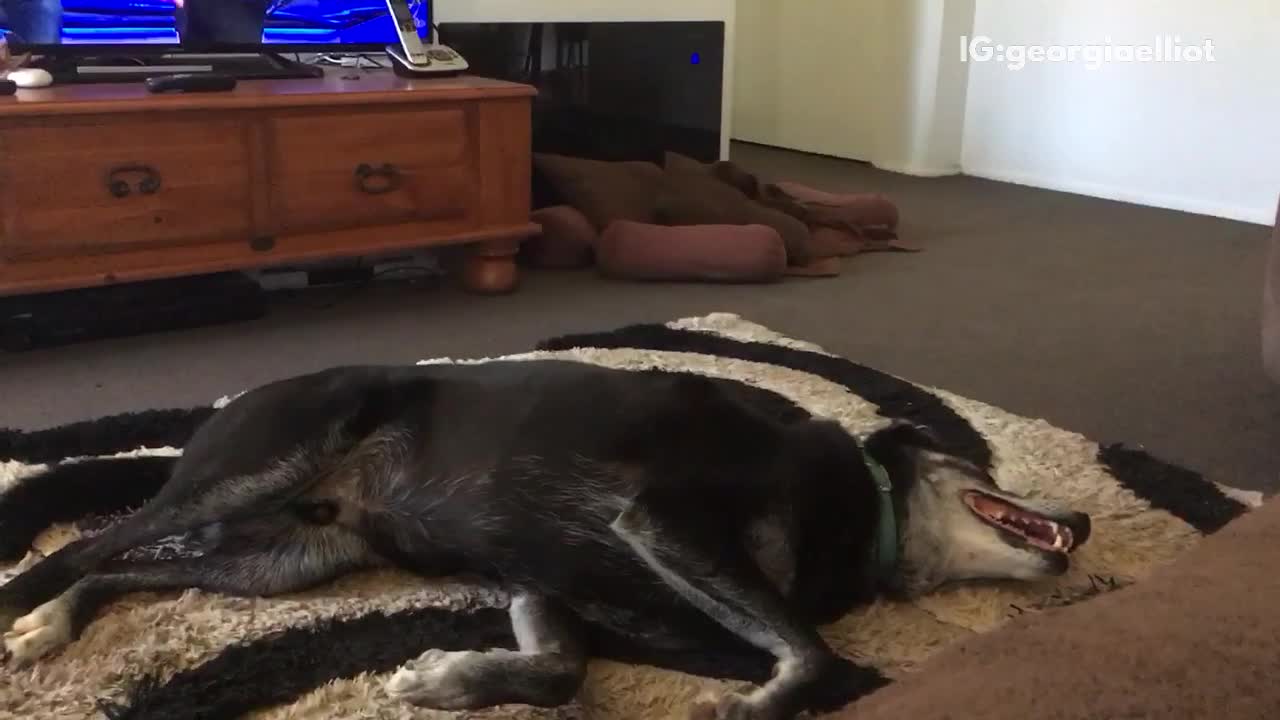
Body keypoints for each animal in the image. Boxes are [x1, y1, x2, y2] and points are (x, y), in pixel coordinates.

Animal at [0, 361, 1090, 712]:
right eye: (986, 469)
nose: (1081, 518)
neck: (870, 507)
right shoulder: (665, 521)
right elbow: (818, 659)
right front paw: (752, 703)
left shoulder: (559, 586)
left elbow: (562, 666)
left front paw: (449, 680)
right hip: (266, 458)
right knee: (90, 544)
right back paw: (28, 611)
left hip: (281, 561)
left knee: (130, 568)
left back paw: (57, 622)